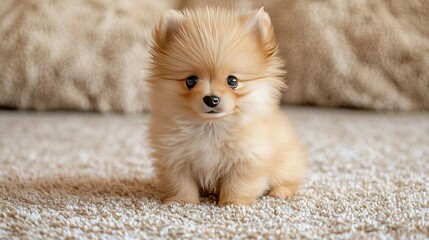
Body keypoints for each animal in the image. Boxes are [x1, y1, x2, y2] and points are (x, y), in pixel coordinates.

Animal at [147, 7, 304, 206]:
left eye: (232, 81)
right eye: (190, 81)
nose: (211, 99)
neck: (210, 127)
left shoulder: (247, 159)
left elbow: (237, 184)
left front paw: (232, 204)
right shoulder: (174, 157)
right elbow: (180, 183)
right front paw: (182, 202)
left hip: (288, 163)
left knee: (291, 180)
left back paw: (279, 192)